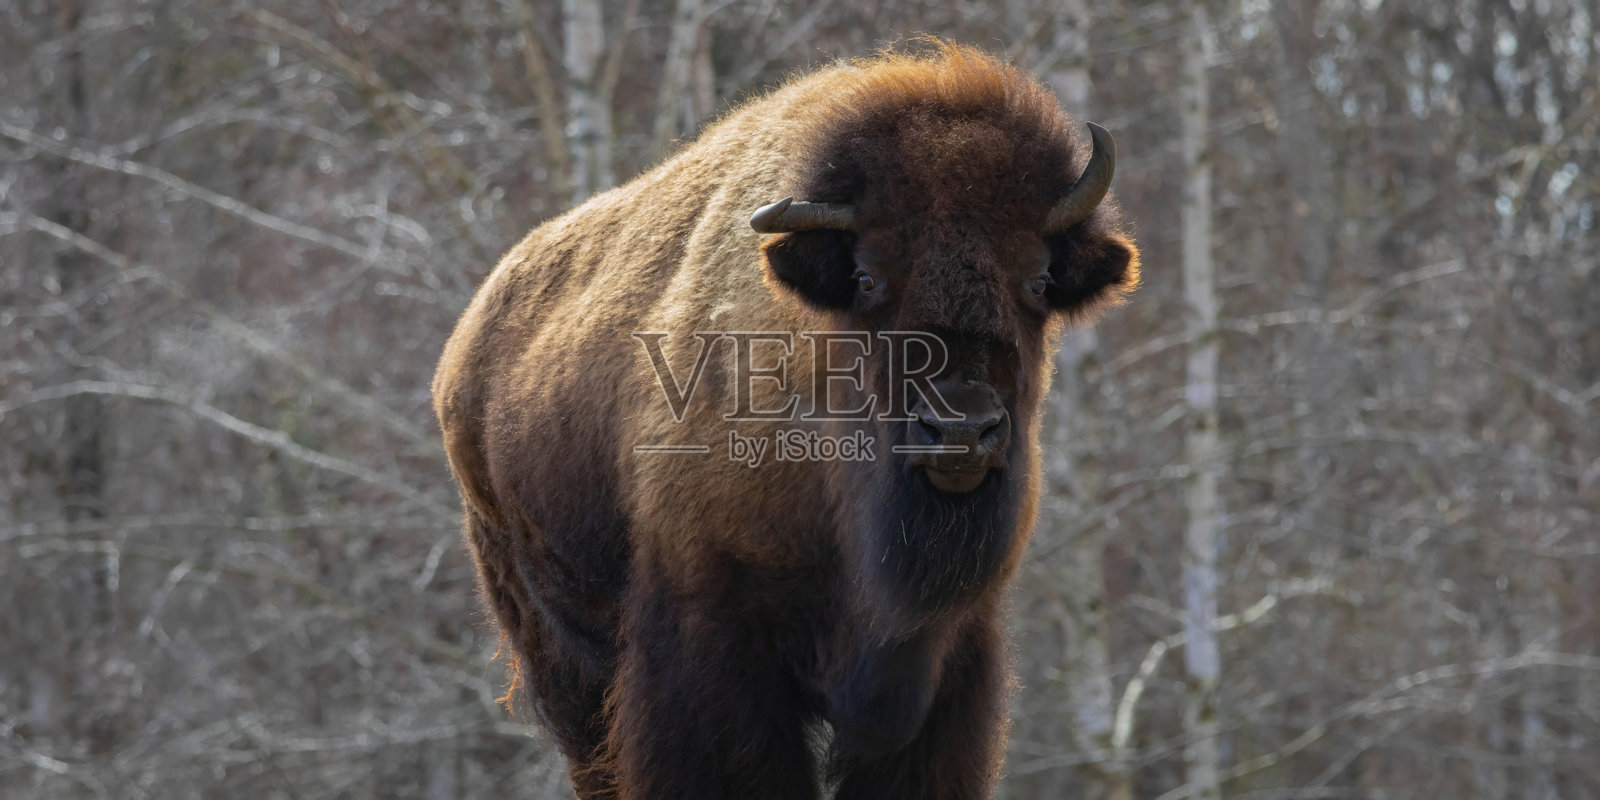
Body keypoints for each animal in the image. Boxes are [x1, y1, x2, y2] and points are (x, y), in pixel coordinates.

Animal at [433, 43, 1140, 799]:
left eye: (1037, 280)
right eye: (867, 278)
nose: (960, 432)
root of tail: (465, 347)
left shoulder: (950, 659)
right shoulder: (714, 647)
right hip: (556, 643)